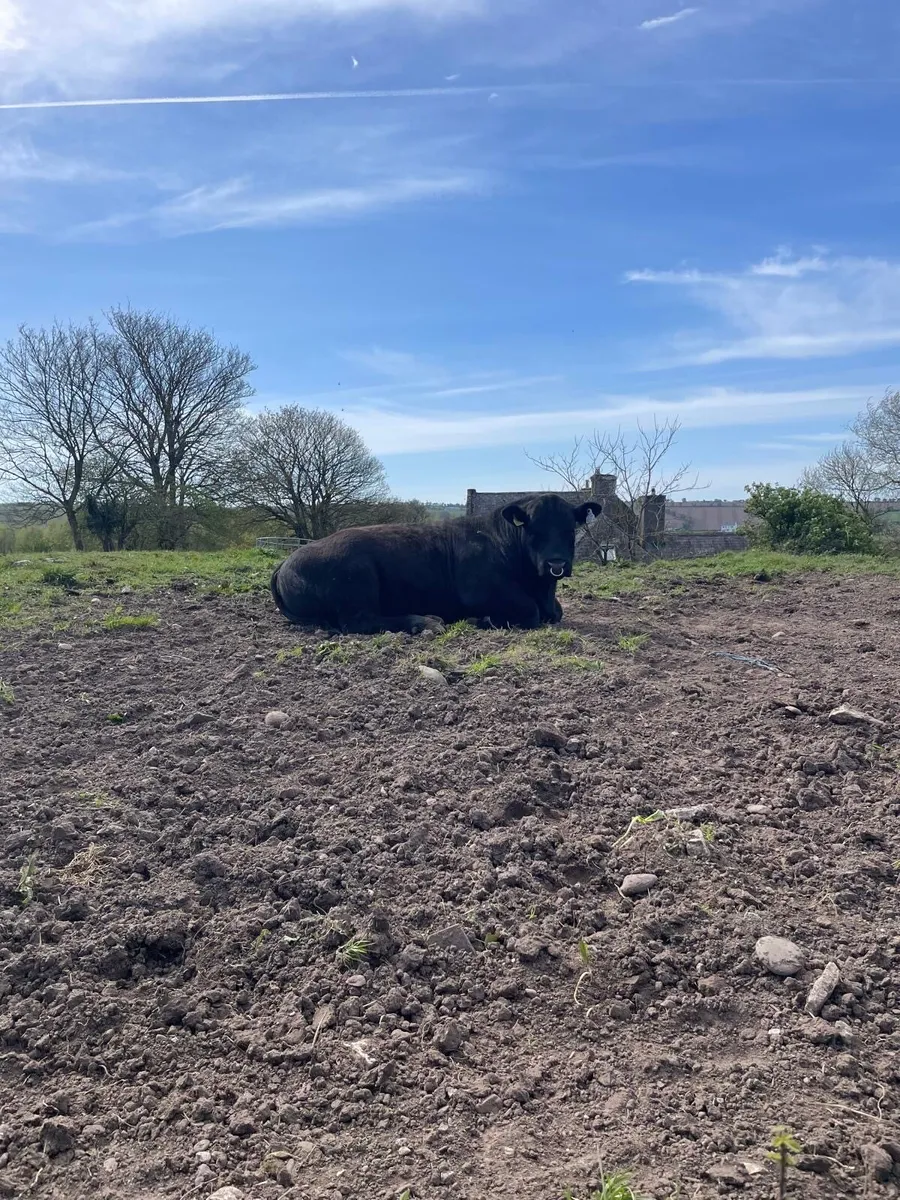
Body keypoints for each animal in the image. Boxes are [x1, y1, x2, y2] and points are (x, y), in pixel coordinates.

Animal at [269, 492, 602, 635]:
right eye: (533, 529)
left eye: (569, 528)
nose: (556, 563)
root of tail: (286, 561)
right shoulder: (480, 591)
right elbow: (529, 612)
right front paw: (482, 619)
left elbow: (556, 612)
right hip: (357, 582)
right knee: (360, 622)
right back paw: (425, 621)